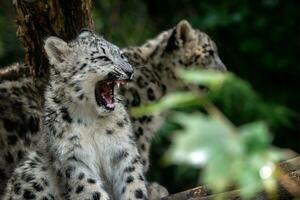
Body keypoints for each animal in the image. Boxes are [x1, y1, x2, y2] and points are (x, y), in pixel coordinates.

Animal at [2, 30, 148, 200]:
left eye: (122, 55)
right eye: (102, 58)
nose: (129, 71)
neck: (92, 118)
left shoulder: (123, 150)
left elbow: (133, 182)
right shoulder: (71, 158)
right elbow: (90, 190)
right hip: (33, 170)